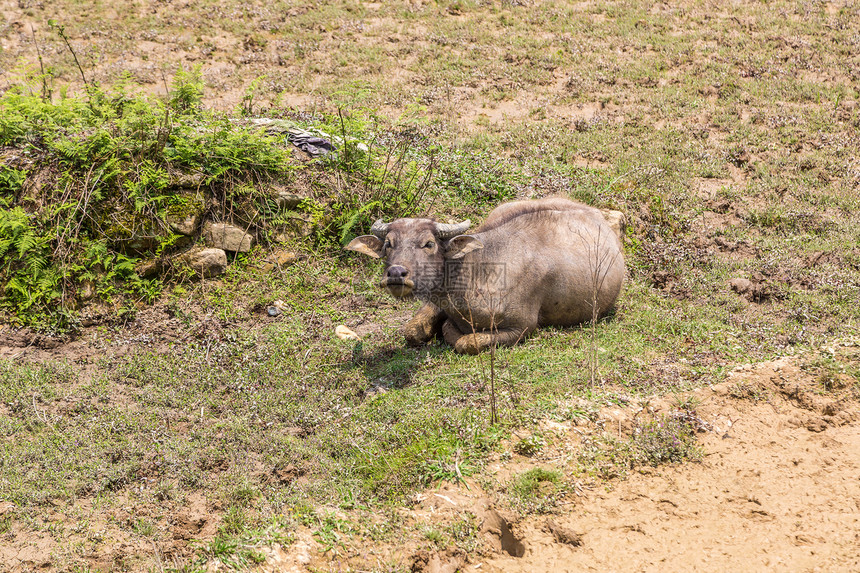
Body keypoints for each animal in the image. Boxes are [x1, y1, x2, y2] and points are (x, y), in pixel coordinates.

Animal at [344, 198, 624, 354]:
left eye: (428, 244)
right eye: (389, 244)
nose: (396, 273)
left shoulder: (523, 327)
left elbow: (464, 342)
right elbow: (413, 330)